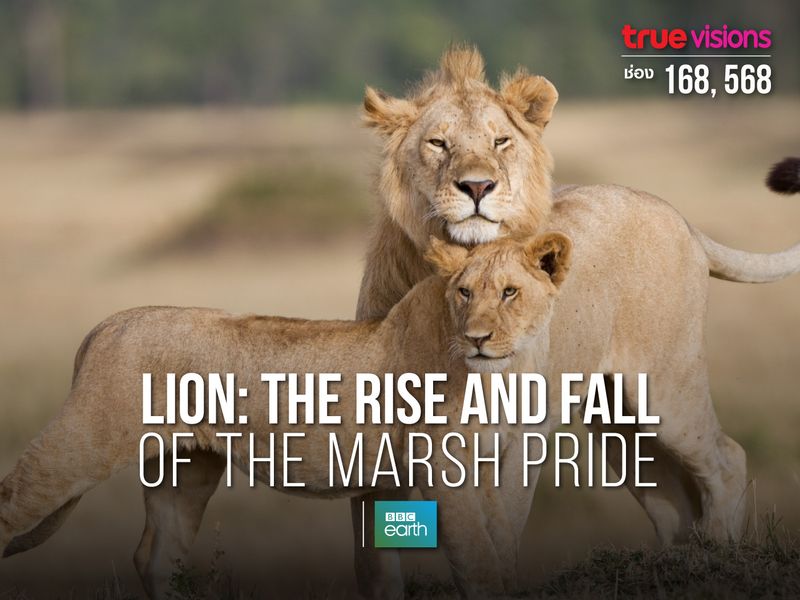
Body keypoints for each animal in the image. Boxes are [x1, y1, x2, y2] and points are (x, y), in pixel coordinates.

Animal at [0, 232, 572, 599]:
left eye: (510, 292)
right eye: (464, 292)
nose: (477, 338)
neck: (499, 373)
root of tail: (106, 324)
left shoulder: (485, 472)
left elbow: (501, 552)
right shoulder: (442, 476)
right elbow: (478, 564)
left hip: (186, 469)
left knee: (157, 557)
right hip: (83, 443)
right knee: (14, 500)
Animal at [347, 47, 800, 598]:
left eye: (500, 141)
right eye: (438, 143)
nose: (477, 186)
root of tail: (682, 218)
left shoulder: (519, 433)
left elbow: (500, 530)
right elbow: (372, 556)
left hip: (665, 389)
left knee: (727, 458)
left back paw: (716, 557)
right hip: (618, 422)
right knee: (673, 498)